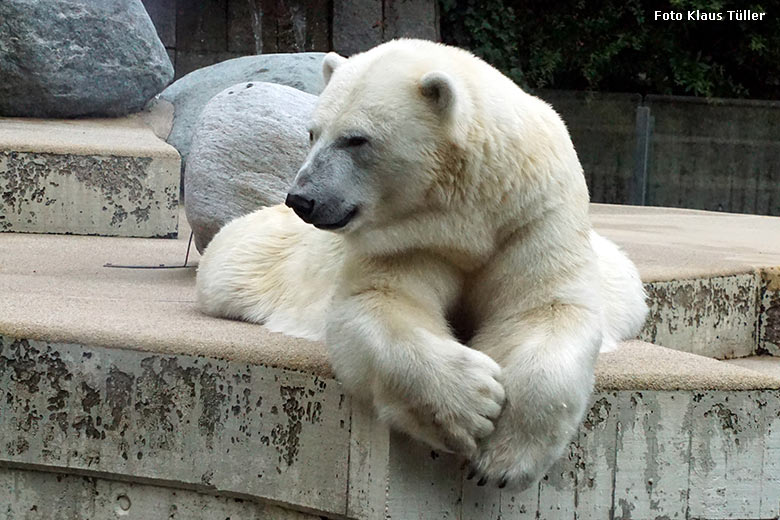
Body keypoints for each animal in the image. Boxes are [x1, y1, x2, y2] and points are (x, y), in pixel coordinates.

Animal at [195, 39, 644, 488]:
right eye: (313, 133)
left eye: (356, 139)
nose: (302, 199)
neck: (468, 210)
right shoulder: (409, 240)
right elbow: (382, 302)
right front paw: (474, 405)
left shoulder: (531, 216)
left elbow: (546, 307)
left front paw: (503, 459)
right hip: (259, 254)